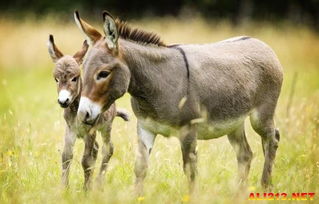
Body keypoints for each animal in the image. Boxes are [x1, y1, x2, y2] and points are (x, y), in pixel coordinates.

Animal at [47, 34, 129, 190]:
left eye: (74, 78)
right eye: (56, 79)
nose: (63, 101)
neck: (75, 109)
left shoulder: (91, 130)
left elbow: (86, 160)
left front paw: (86, 190)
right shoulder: (71, 130)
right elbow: (66, 157)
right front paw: (64, 189)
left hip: (105, 128)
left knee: (108, 149)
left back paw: (98, 184)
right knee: (96, 149)